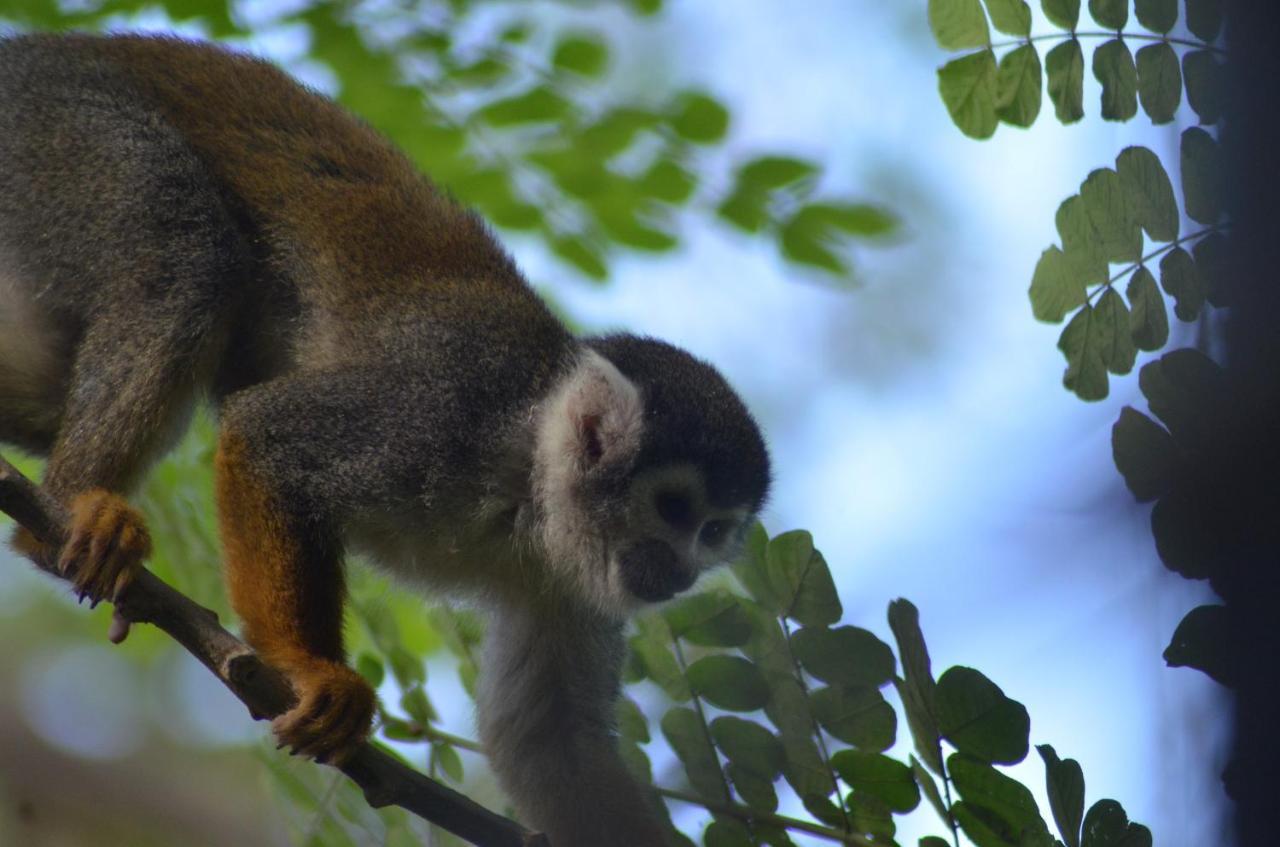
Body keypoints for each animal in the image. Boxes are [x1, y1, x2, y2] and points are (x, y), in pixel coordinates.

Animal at [0, 33, 768, 847]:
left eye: (713, 531)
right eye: (674, 508)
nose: (682, 571)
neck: (530, 480)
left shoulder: (569, 586)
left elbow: (551, 746)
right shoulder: (439, 414)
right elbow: (268, 434)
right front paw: (309, 670)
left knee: (53, 389)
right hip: (58, 129)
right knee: (187, 264)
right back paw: (68, 516)